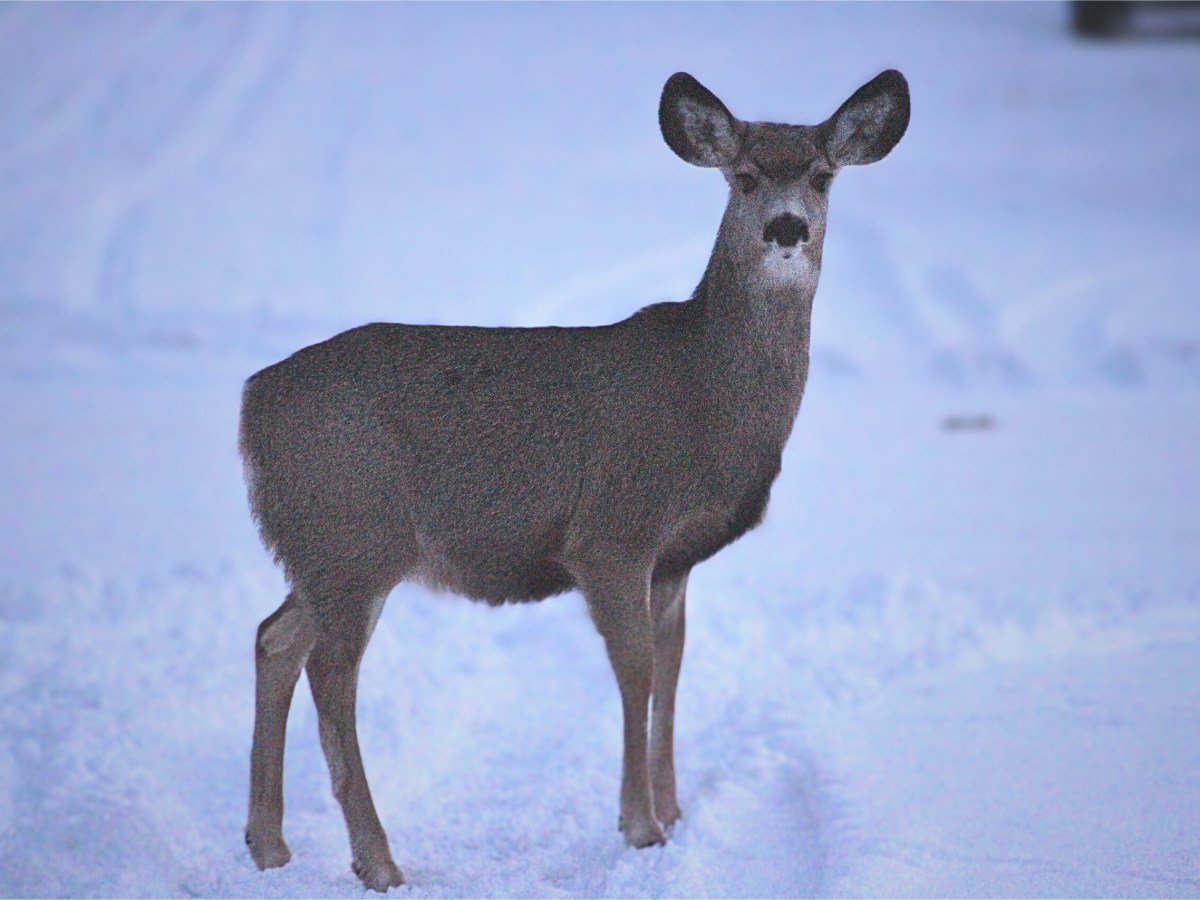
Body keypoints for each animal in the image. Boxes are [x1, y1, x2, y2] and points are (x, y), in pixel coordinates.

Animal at [240, 69, 909, 891]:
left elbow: (673, 669)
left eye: (821, 176)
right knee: (331, 675)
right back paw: (379, 863)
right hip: (355, 536)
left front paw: (674, 811)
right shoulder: (613, 533)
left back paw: (270, 847)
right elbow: (637, 670)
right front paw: (641, 827)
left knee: (274, 639)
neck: (710, 401)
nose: (787, 228)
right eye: (746, 176)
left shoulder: (675, 558)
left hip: (322, 548)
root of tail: (251, 404)